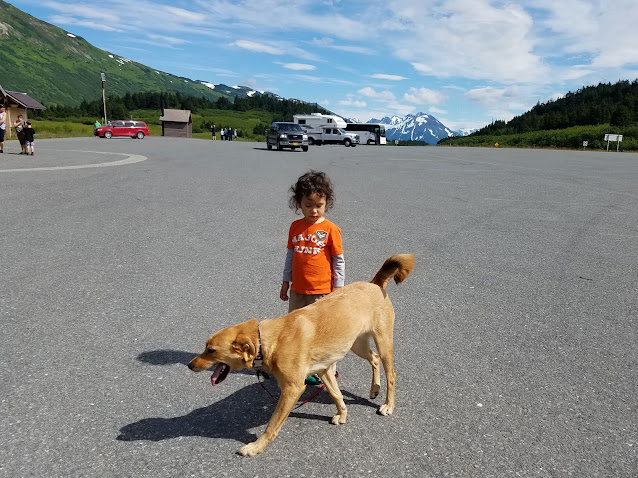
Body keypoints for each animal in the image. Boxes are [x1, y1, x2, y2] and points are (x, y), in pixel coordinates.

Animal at [189, 254, 416, 456]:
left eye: (211, 350)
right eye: (206, 347)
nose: (190, 365)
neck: (268, 341)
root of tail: (374, 284)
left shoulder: (292, 389)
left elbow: (272, 424)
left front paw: (255, 447)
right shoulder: (324, 370)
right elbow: (337, 395)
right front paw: (342, 414)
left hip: (384, 342)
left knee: (391, 374)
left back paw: (388, 404)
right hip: (357, 345)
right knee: (374, 359)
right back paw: (374, 389)